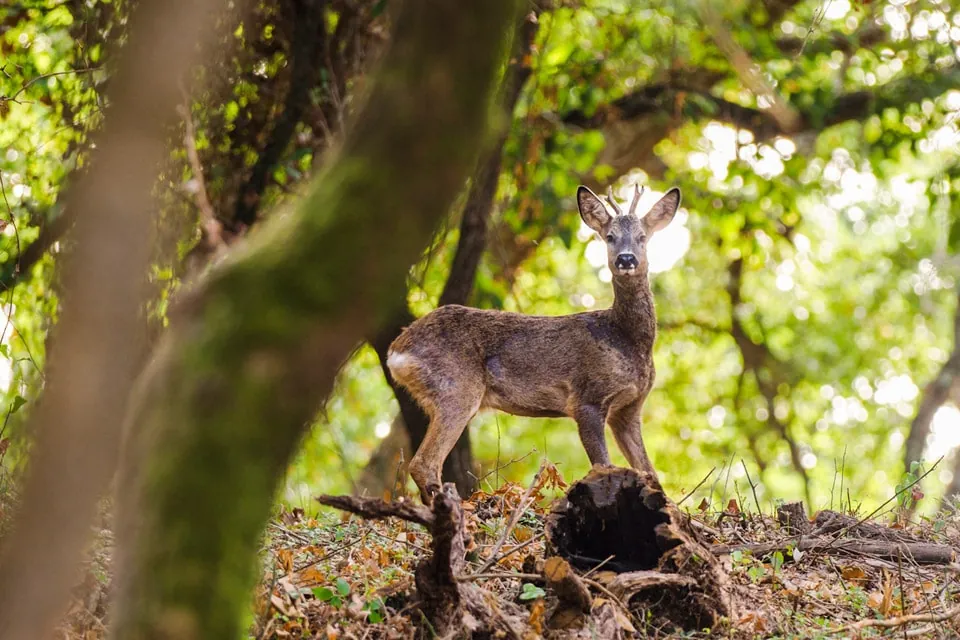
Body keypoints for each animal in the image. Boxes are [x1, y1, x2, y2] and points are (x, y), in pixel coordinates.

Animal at [387, 183, 681, 503]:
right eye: (609, 236)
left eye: (643, 236)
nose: (626, 259)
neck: (625, 339)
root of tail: (396, 349)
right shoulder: (586, 398)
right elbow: (603, 466)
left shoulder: (629, 409)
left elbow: (651, 472)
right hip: (456, 388)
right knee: (424, 463)